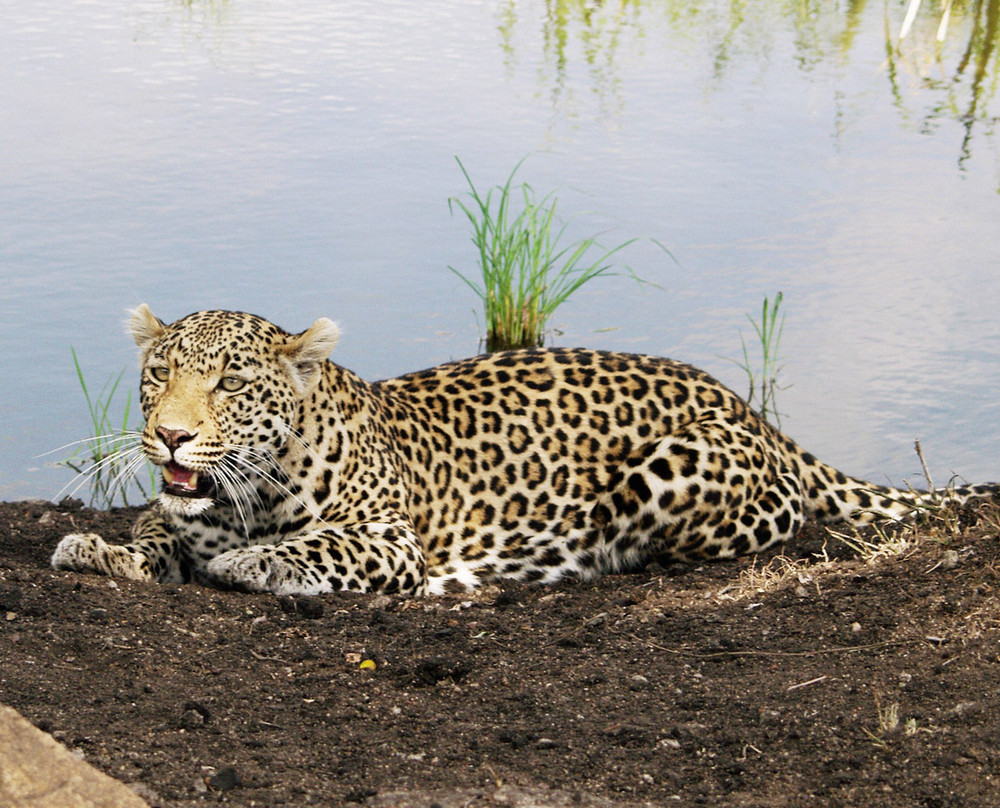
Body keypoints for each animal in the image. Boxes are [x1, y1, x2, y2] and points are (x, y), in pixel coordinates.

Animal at [50, 306, 996, 596]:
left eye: (230, 383)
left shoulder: (388, 540)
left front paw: (254, 564)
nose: (171, 433)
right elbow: (154, 533)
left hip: (670, 475)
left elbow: (313, 546)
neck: (241, 498)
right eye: (162, 376)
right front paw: (96, 547)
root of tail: (749, 408)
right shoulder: (181, 512)